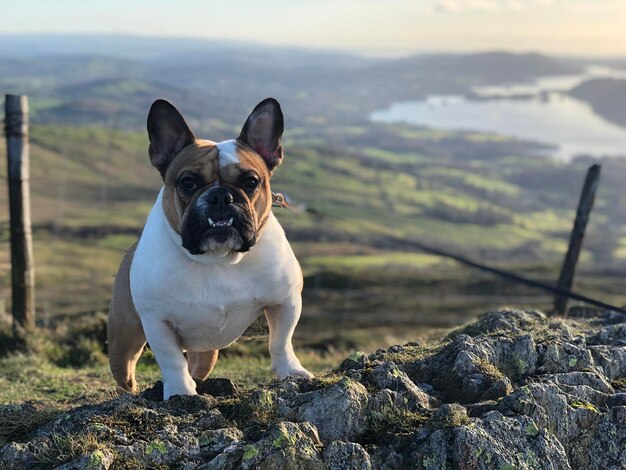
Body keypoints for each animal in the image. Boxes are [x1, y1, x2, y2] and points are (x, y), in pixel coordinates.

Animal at [108, 97, 314, 398]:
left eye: (251, 181)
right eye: (188, 182)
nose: (220, 196)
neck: (220, 259)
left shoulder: (285, 301)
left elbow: (281, 341)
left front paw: (291, 371)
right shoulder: (157, 320)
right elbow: (171, 359)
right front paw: (180, 392)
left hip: (206, 352)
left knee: (198, 364)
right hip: (124, 339)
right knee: (127, 372)